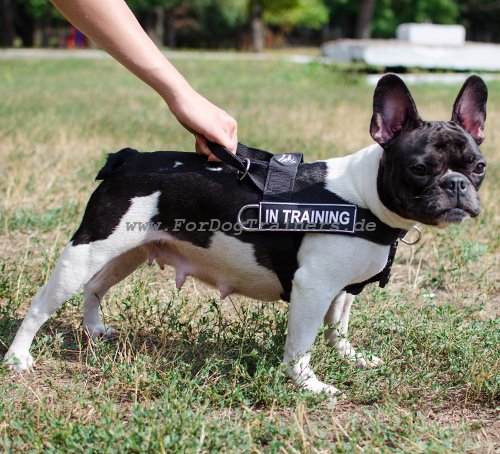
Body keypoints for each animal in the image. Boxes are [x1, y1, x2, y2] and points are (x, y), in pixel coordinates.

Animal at [4, 74, 488, 394]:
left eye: (479, 167)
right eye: (420, 168)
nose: (457, 185)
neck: (365, 195)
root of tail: (130, 158)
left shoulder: (342, 288)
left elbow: (338, 327)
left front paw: (350, 357)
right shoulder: (313, 287)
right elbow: (302, 345)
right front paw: (309, 385)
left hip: (128, 250)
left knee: (95, 287)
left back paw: (94, 330)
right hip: (86, 250)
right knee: (42, 303)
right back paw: (18, 357)